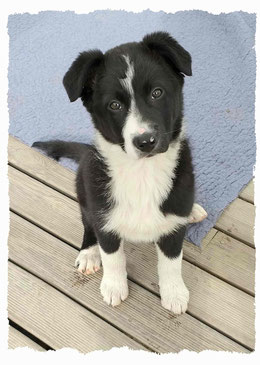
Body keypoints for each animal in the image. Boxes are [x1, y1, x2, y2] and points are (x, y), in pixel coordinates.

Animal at [33, 32, 207, 314]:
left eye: (157, 93)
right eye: (114, 105)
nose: (145, 141)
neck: (142, 173)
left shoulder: (172, 228)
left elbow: (171, 261)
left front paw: (174, 292)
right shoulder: (104, 218)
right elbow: (113, 255)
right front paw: (114, 286)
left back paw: (192, 210)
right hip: (85, 190)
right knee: (87, 224)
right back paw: (89, 253)